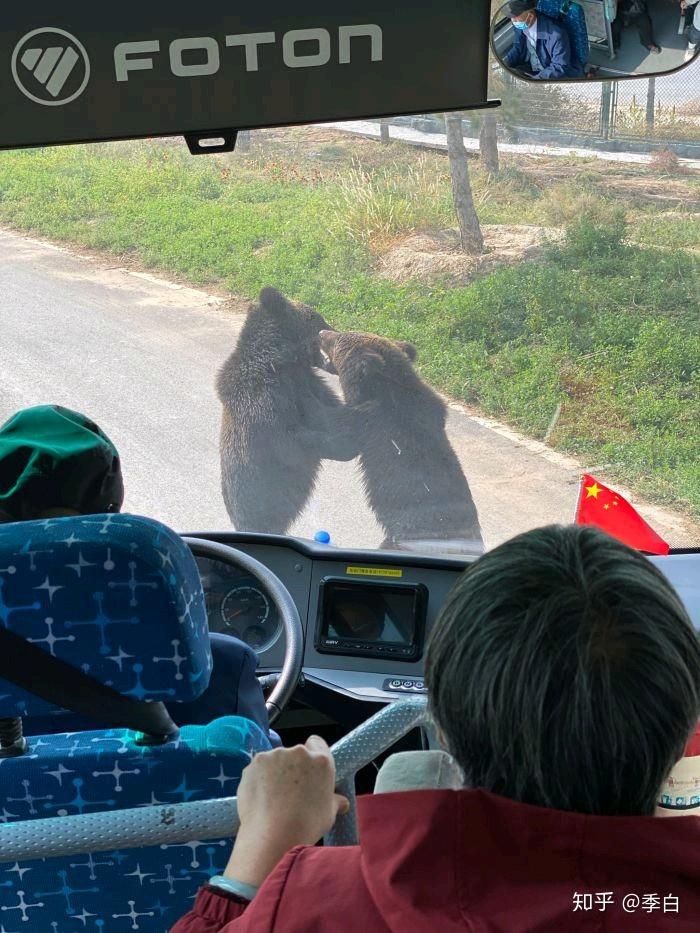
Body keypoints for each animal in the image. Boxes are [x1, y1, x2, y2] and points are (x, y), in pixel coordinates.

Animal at [216, 286, 358, 532]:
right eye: (317, 317)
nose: (335, 332)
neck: (280, 362)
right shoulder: (263, 401)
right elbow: (291, 442)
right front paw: (348, 444)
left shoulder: (309, 383)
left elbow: (334, 411)